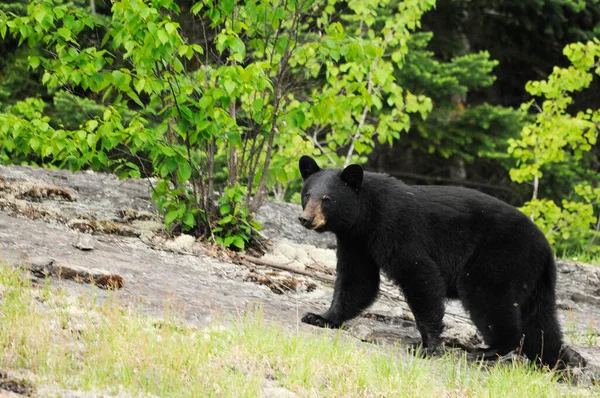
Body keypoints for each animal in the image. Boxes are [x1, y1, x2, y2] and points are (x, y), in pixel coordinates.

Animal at [298, 155, 584, 370]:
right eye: (307, 194)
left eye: (327, 199)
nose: (305, 219)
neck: (366, 217)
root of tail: (546, 248)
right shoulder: (356, 242)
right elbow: (357, 281)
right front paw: (320, 316)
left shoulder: (396, 229)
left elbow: (420, 275)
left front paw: (427, 345)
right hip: (534, 279)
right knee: (541, 321)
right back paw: (553, 360)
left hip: (499, 259)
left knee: (488, 299)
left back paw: (488, 350)